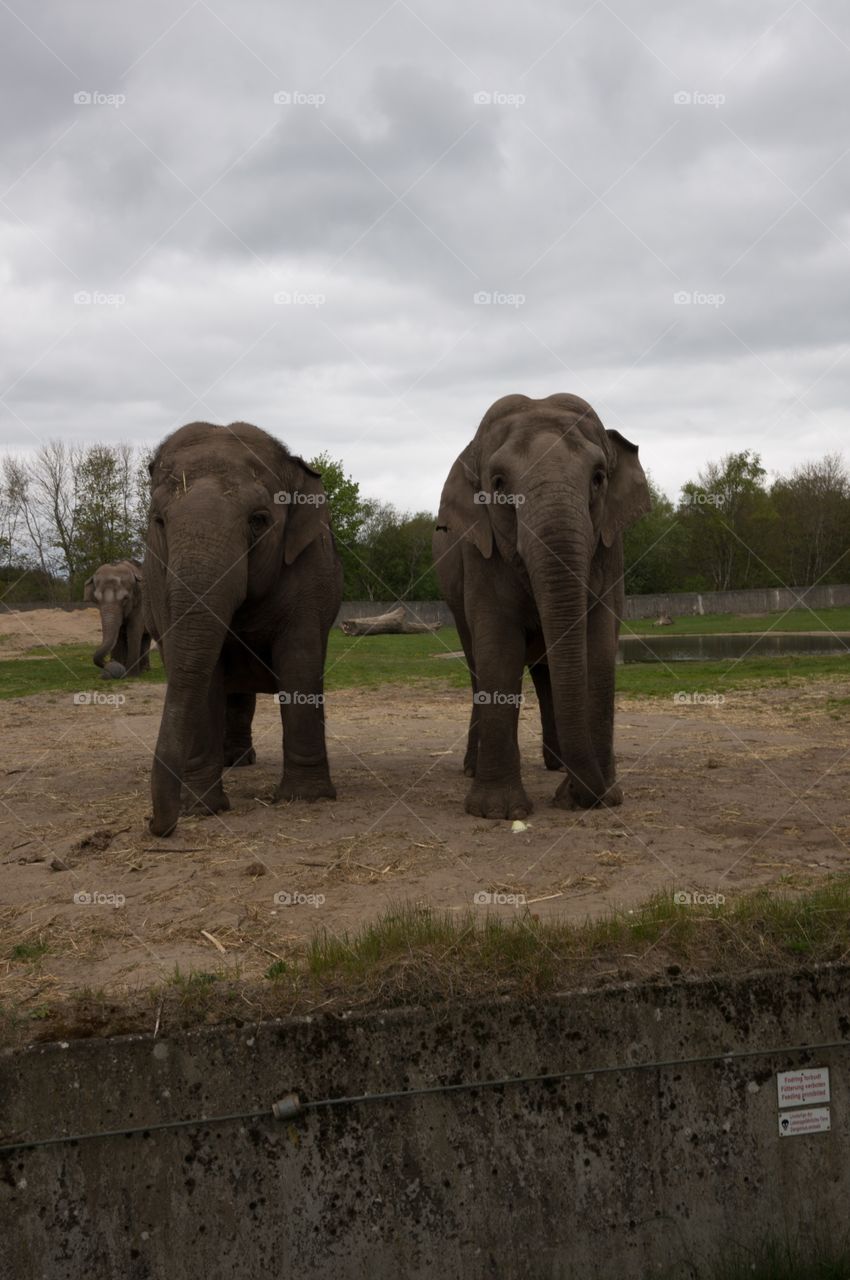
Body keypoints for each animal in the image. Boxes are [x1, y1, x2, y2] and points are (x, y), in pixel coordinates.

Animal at [144, 421, 342, 838]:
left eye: (258, 520)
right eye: (159, 522)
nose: (154, 824)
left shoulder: (309, 571)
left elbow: (300, 660)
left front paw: (306, 799)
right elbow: (199, 674)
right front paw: (201, 809)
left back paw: (238, 762)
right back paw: (231, 763)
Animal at [432, 393, 650, 819]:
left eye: (598, 478)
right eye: (498, 485)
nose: (590, 796)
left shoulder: (609, 547)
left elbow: (599, 645)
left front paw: (597, 798)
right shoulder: (480, 552)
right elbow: (498, 648)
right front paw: (498, 812)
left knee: (547, 670)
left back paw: (559, 765)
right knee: (477, 664)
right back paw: (474, 768)